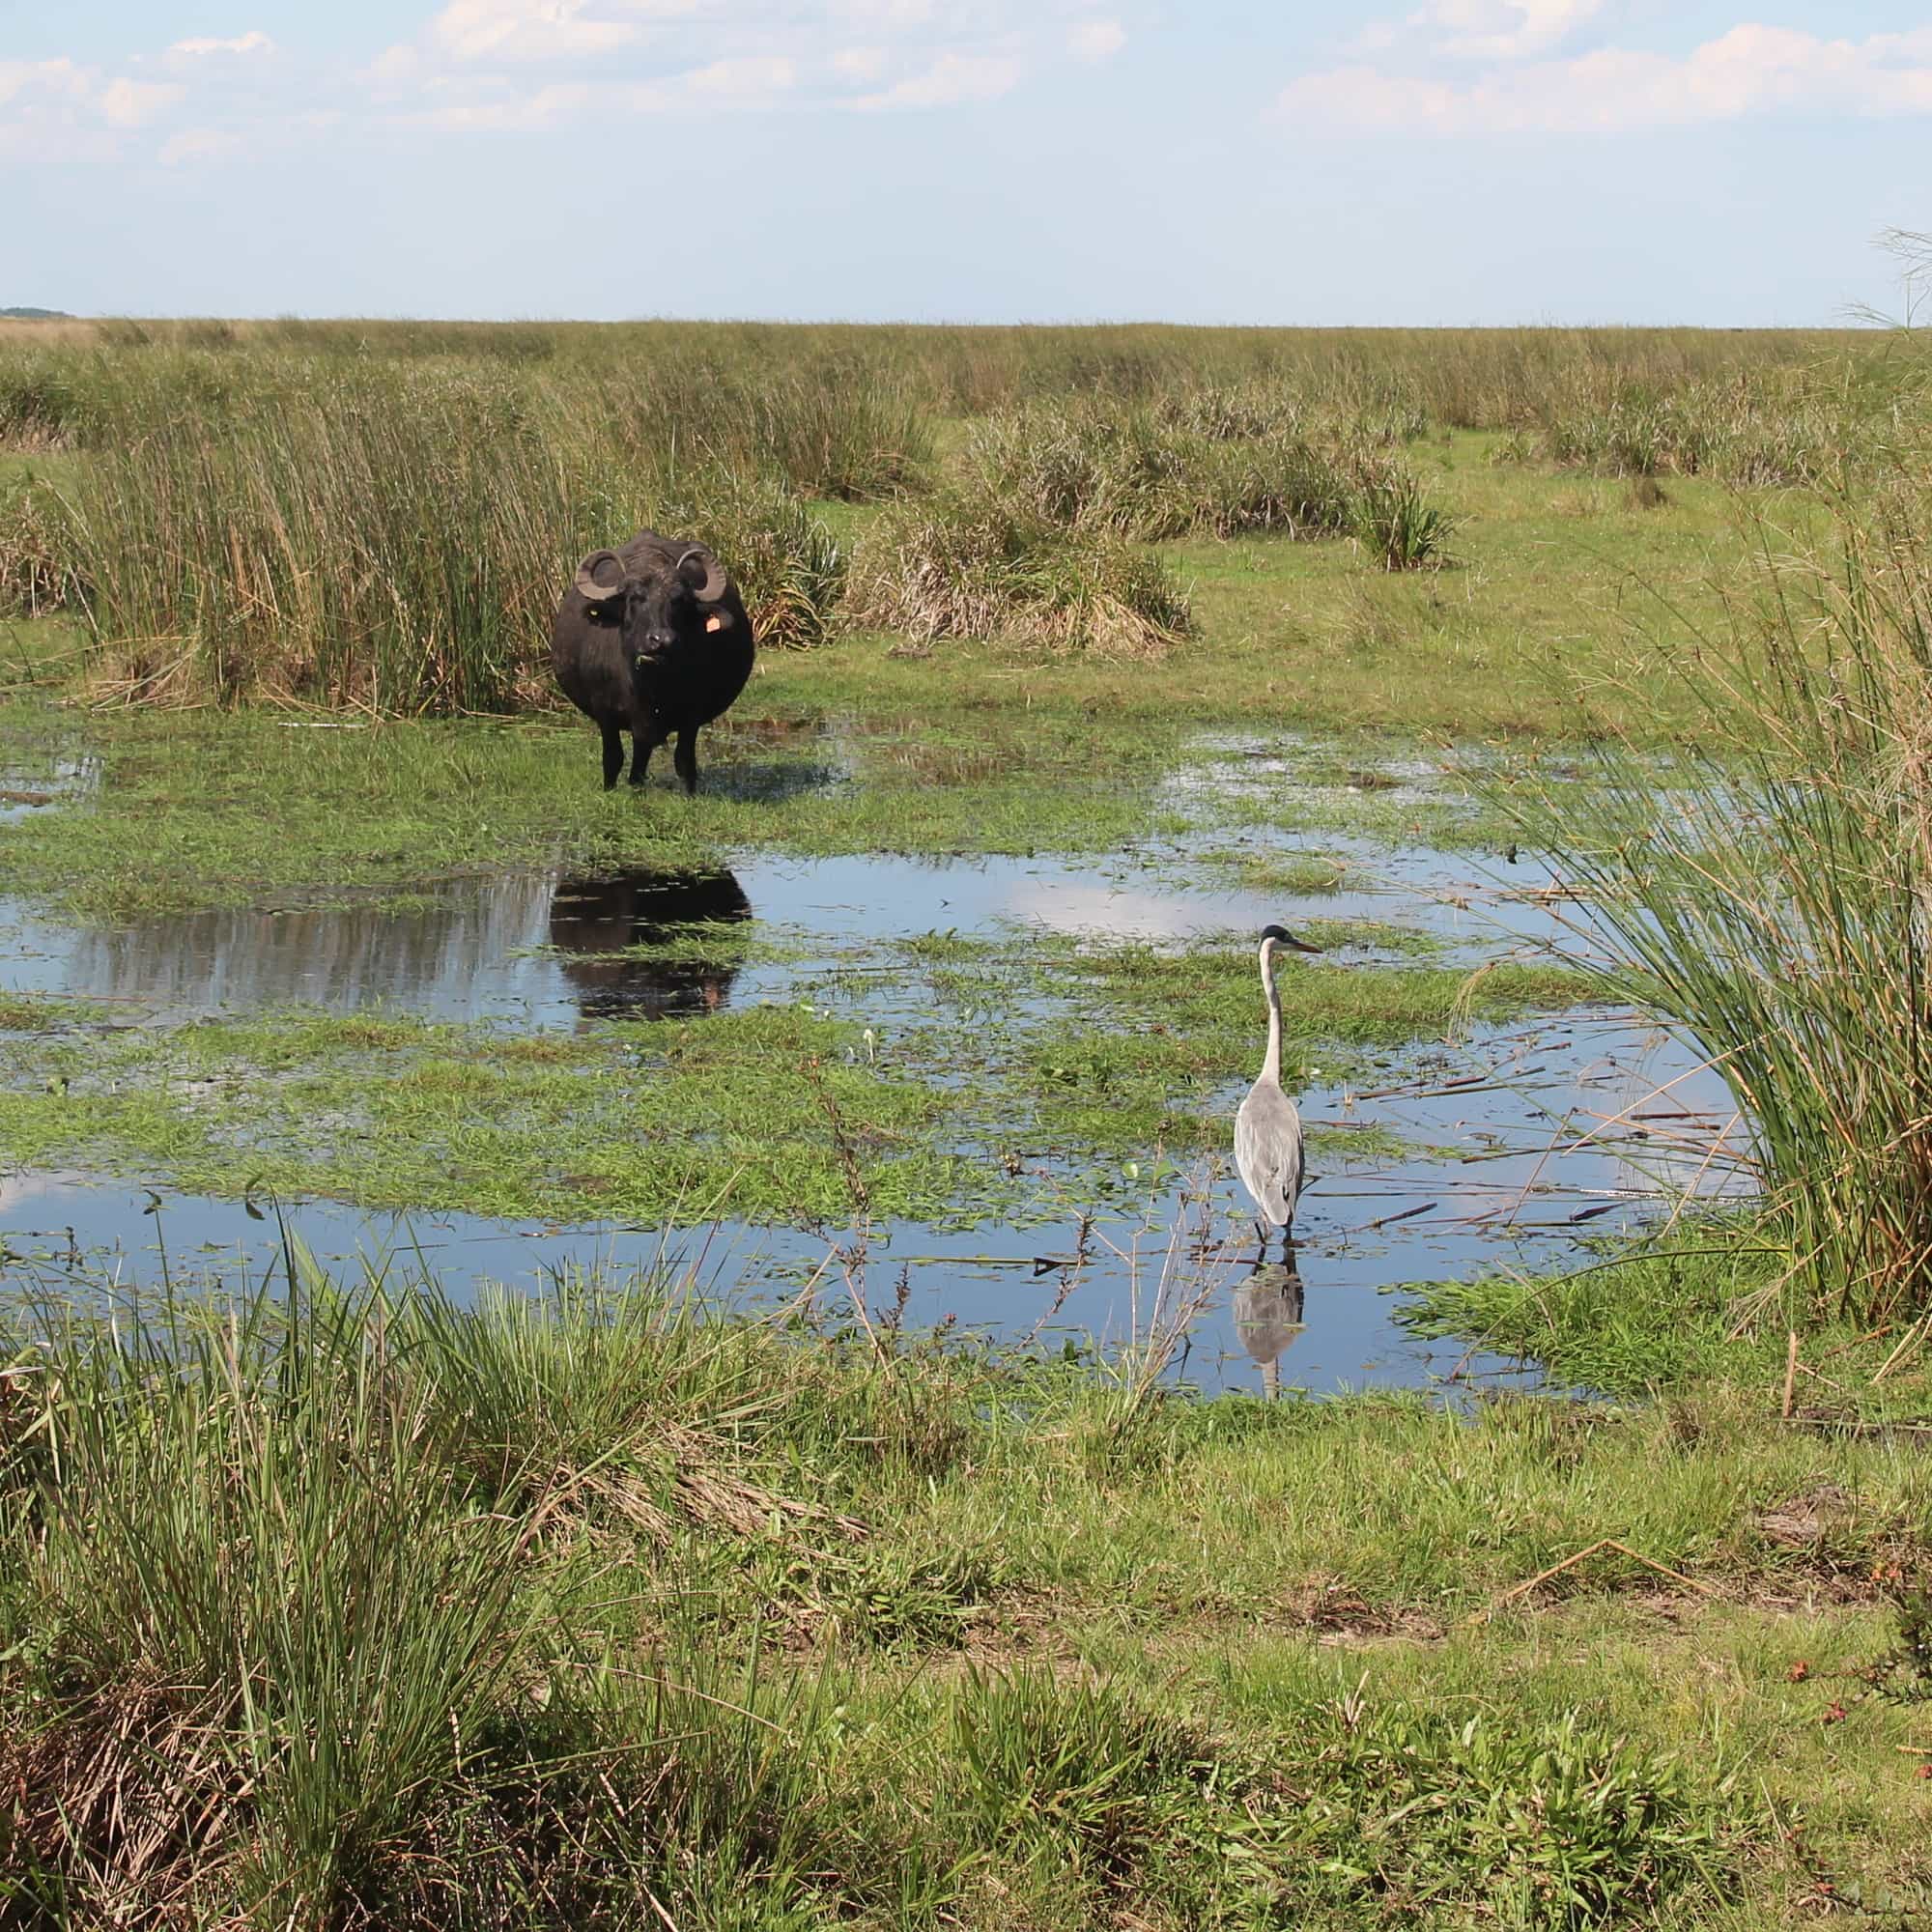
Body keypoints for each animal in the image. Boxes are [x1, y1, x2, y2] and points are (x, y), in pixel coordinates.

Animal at [551, 531, 755, 793]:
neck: (649, 688)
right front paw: (609, 789)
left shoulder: (692, 716)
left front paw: (689, 793)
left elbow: (684, 761)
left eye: (678, 600)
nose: (661, 640)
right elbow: (612, 758)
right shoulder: (604, 713)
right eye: (635, 598)